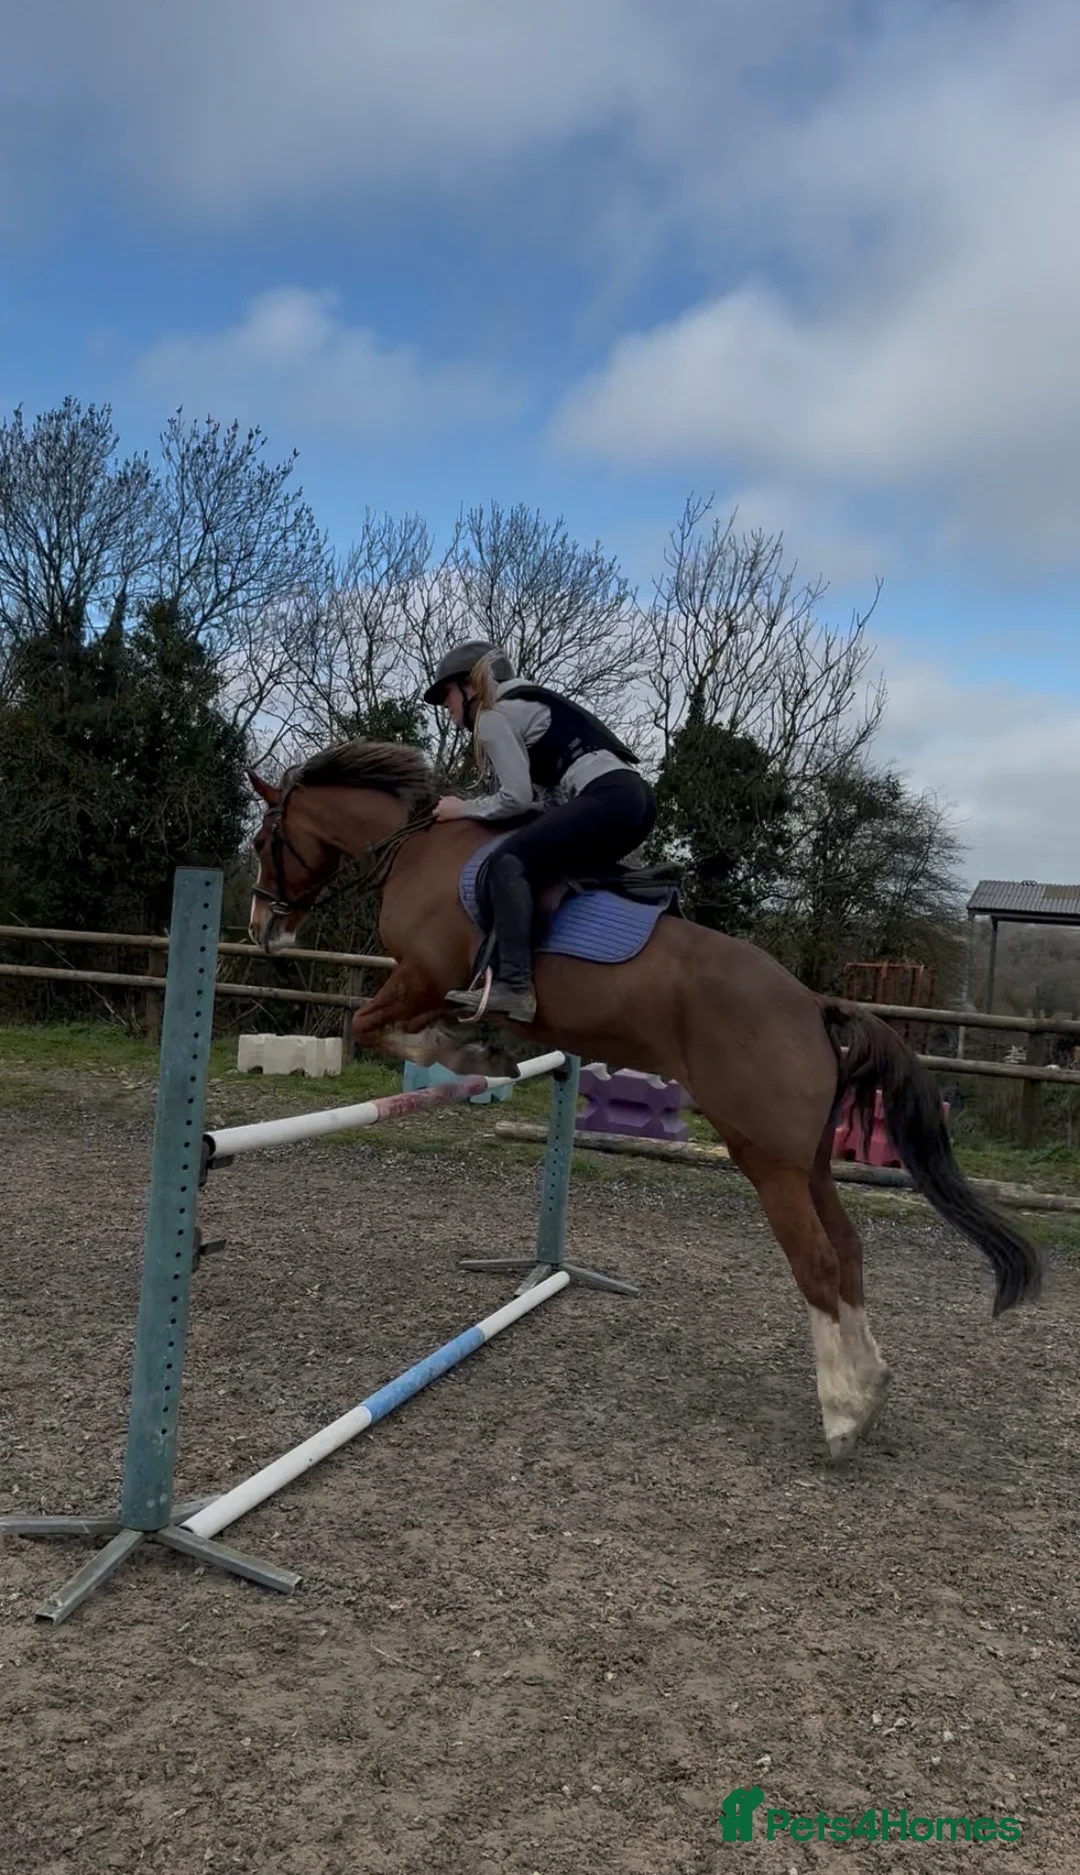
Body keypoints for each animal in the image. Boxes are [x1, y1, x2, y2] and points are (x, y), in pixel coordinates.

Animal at [246, 739, 1042, 1462]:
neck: (423, 848)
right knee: (846, 1249)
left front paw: (472, 1053)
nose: (262, 928)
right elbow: (394, 1025)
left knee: (816, 1259)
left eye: (260, 841)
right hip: (807, 1159)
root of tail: (813, 1004)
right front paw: (479, 1048)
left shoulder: (419, 974)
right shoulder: (425, 984)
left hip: (764, 1156)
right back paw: (870, 1384)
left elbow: (370, 1024)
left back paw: (843, 1417)